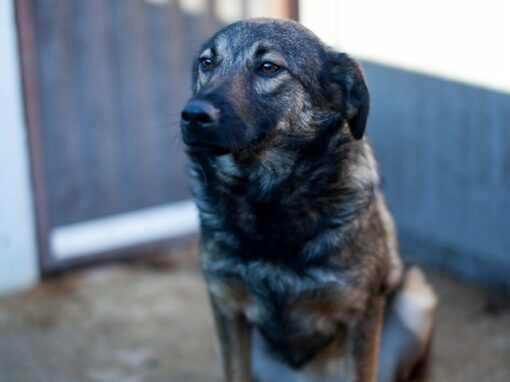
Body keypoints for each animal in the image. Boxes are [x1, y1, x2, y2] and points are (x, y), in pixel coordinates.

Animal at [180, 18, 438, 382]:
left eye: (268, 67)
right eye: (207, 63)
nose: (191, 115)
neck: (268, 198)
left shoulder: (360, 313)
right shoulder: (226, 307)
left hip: (417, 295)